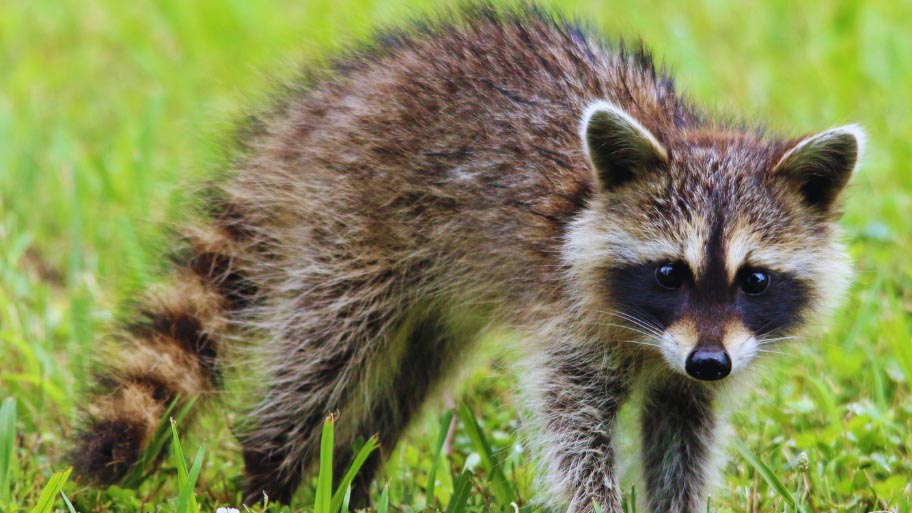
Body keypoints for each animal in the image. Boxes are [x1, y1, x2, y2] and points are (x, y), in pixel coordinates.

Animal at [71, 5, 864, 512]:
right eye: (670, 273)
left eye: (754, 279)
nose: (709, 361)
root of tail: (325, 104)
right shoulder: (572, 322)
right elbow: (572, 428)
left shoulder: (698, 364)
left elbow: (683, 433)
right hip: (352, 225)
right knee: (323, 358)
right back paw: (270, 471)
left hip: (433, 295)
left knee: (405, 381)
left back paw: (352, 477)